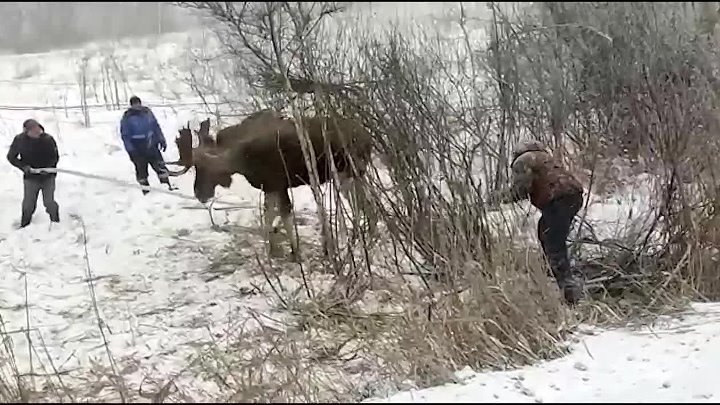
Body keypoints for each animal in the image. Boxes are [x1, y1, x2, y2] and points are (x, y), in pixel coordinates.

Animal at [165, 110, 374, 260]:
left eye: (203, 168)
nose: (199, 194)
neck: (242, 160)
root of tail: (368, 137)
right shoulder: (270, 187)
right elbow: (268, 216)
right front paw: (272, 250)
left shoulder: (278, 185)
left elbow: (283, 215)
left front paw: (294, 252)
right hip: (348, 174)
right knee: (362, 200)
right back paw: (362, 232)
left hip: (350, 171)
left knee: (363, 200)